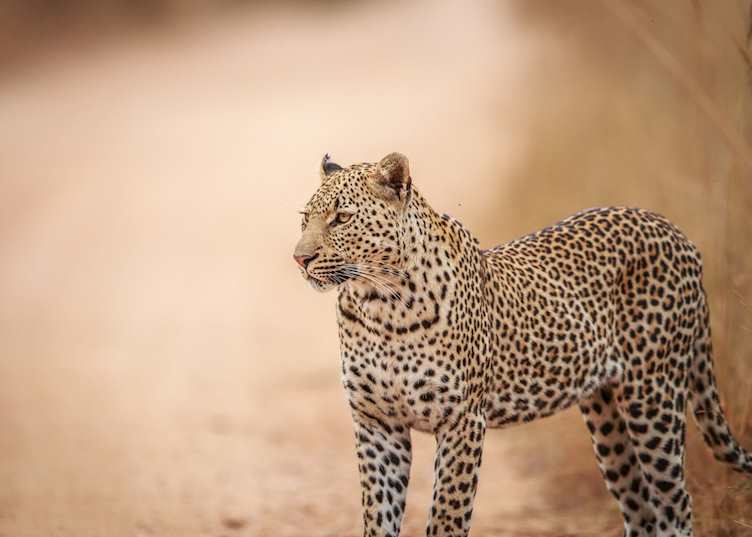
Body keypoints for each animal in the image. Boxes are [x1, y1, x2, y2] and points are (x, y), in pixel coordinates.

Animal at [292, 152, 752, 537]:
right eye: (305, 219)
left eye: (341, 218)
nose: (300, 259)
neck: (380, 305)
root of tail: (677, 233)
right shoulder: (377, 423)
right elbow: (378, 517)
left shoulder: (462, 421)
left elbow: (447, 517)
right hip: (606, 417)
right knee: (641, 509)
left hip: (653, 397)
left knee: (676, 504)